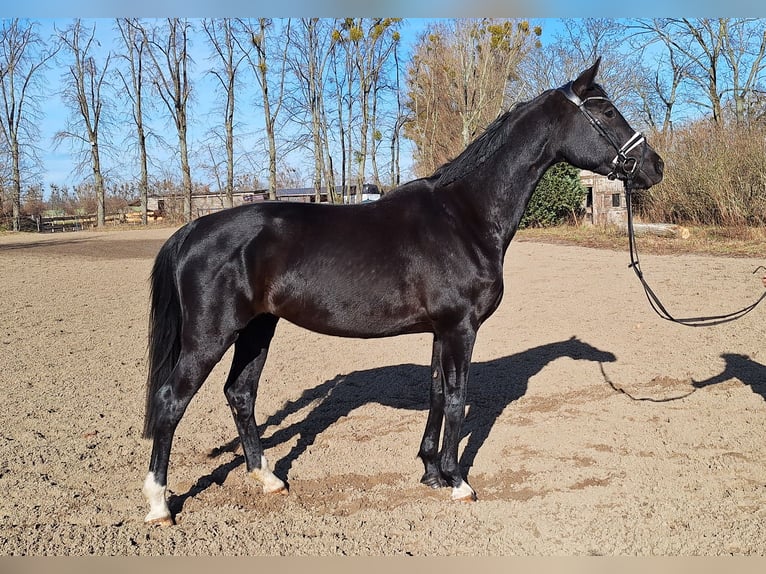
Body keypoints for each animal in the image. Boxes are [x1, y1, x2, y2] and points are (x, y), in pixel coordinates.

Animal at [142, 59, 664, 528]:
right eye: (608, 111)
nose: (655, 166)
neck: (465, 216)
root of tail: (192, 230)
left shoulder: (441, 330)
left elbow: (436, 392)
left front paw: (431, 471)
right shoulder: (460, 328)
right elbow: (456, 398)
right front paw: (458, 481)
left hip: (257, 329)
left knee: (240, 394)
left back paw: (267, 478)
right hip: (211, 336)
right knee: (170, 402)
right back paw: (160, 505)